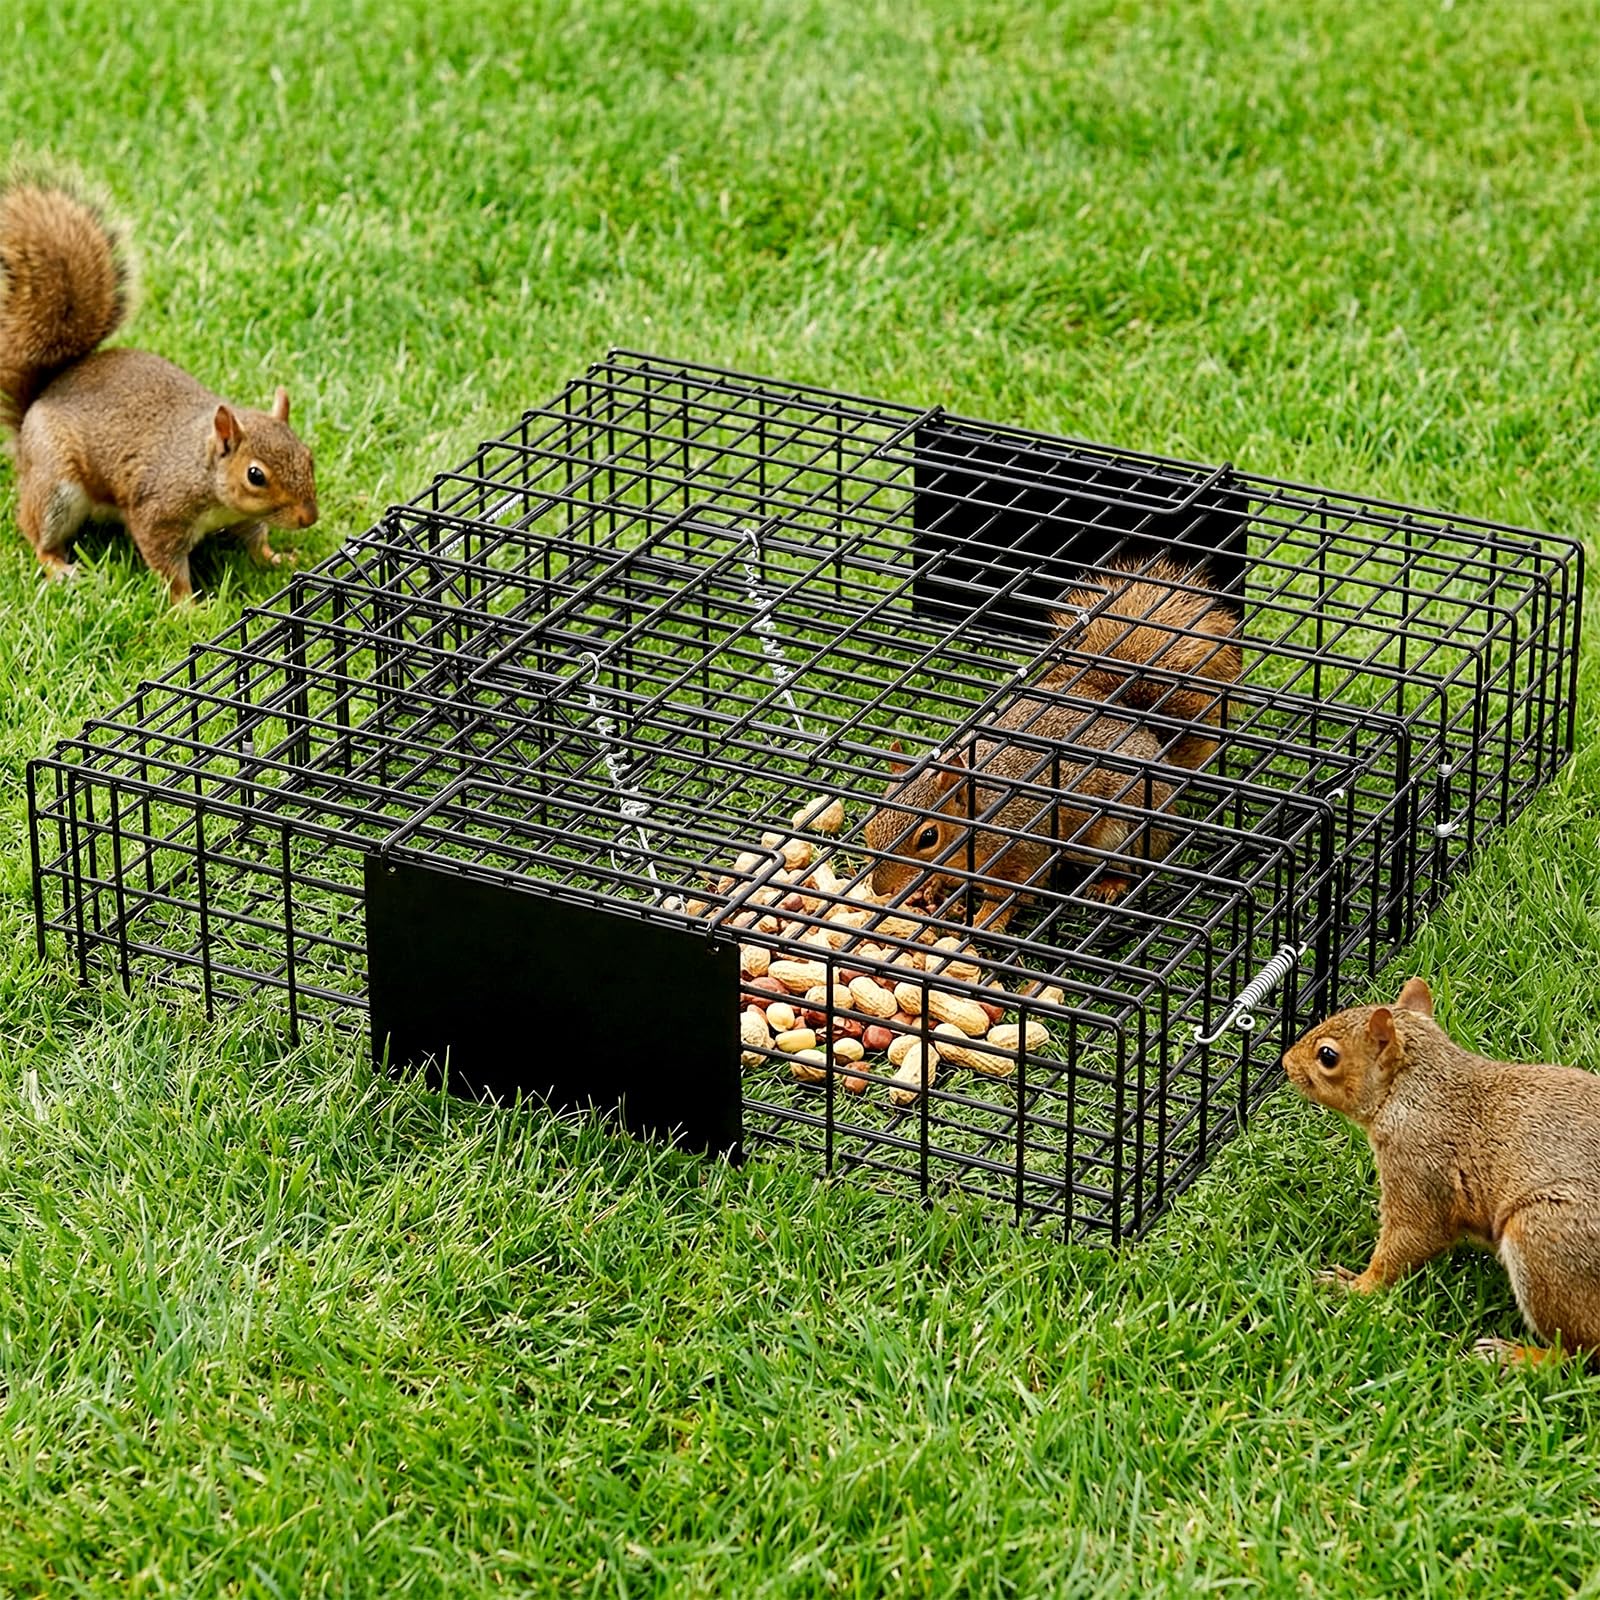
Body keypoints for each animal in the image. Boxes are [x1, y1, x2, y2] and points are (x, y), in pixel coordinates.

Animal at [0, 165, 318, 603]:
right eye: (256, 476)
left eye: (308, 456)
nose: (309, 518)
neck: (203, 470)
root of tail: (40, 397)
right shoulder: (158, 511)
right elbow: (167, 564)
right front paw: (190, 606)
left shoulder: (241, 517)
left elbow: (255, 538)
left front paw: (276, 558)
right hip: (56, 485)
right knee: (36, 531)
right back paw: (59, 567)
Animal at [861, 555, 1242, 930]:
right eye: (871, 820)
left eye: (928, 838)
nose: (879, 888)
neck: (982, 817)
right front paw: (932, 890)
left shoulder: (1022, 855)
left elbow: (1011, 895)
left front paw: (985, 920)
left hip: (1124, 830)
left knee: (1130, 866)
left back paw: (1110, 884)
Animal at [1284, 977, 1600, 1364]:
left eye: (1328, 1056)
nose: (1285, 1062)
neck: (1415, 1089)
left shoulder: (1419, 1162)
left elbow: (1415, 1234)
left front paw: (1355, 1287)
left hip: (1545, 1243)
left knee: (1578, 1353)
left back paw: (1515, 1356)